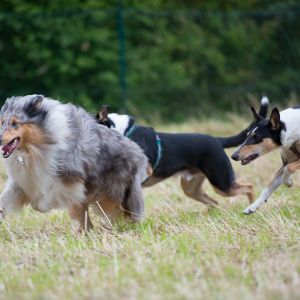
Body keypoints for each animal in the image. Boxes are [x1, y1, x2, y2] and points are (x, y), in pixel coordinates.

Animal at [0, 95, 148, 231]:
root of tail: (139, 153)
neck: (36, 146)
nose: (0, 139)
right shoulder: (24, 179)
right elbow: (5, 199)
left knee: (121, 211)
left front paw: (41, 206)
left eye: (15, 123)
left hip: (112, 193)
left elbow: (46, 199)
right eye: (2, 122)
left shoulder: (69, 179)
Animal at [98, 98, 270, 206]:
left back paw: (252, 208)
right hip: (191, 188)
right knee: (214, 202)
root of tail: (216, 139)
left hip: (222, 183)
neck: (121, 132)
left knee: (249, 187)